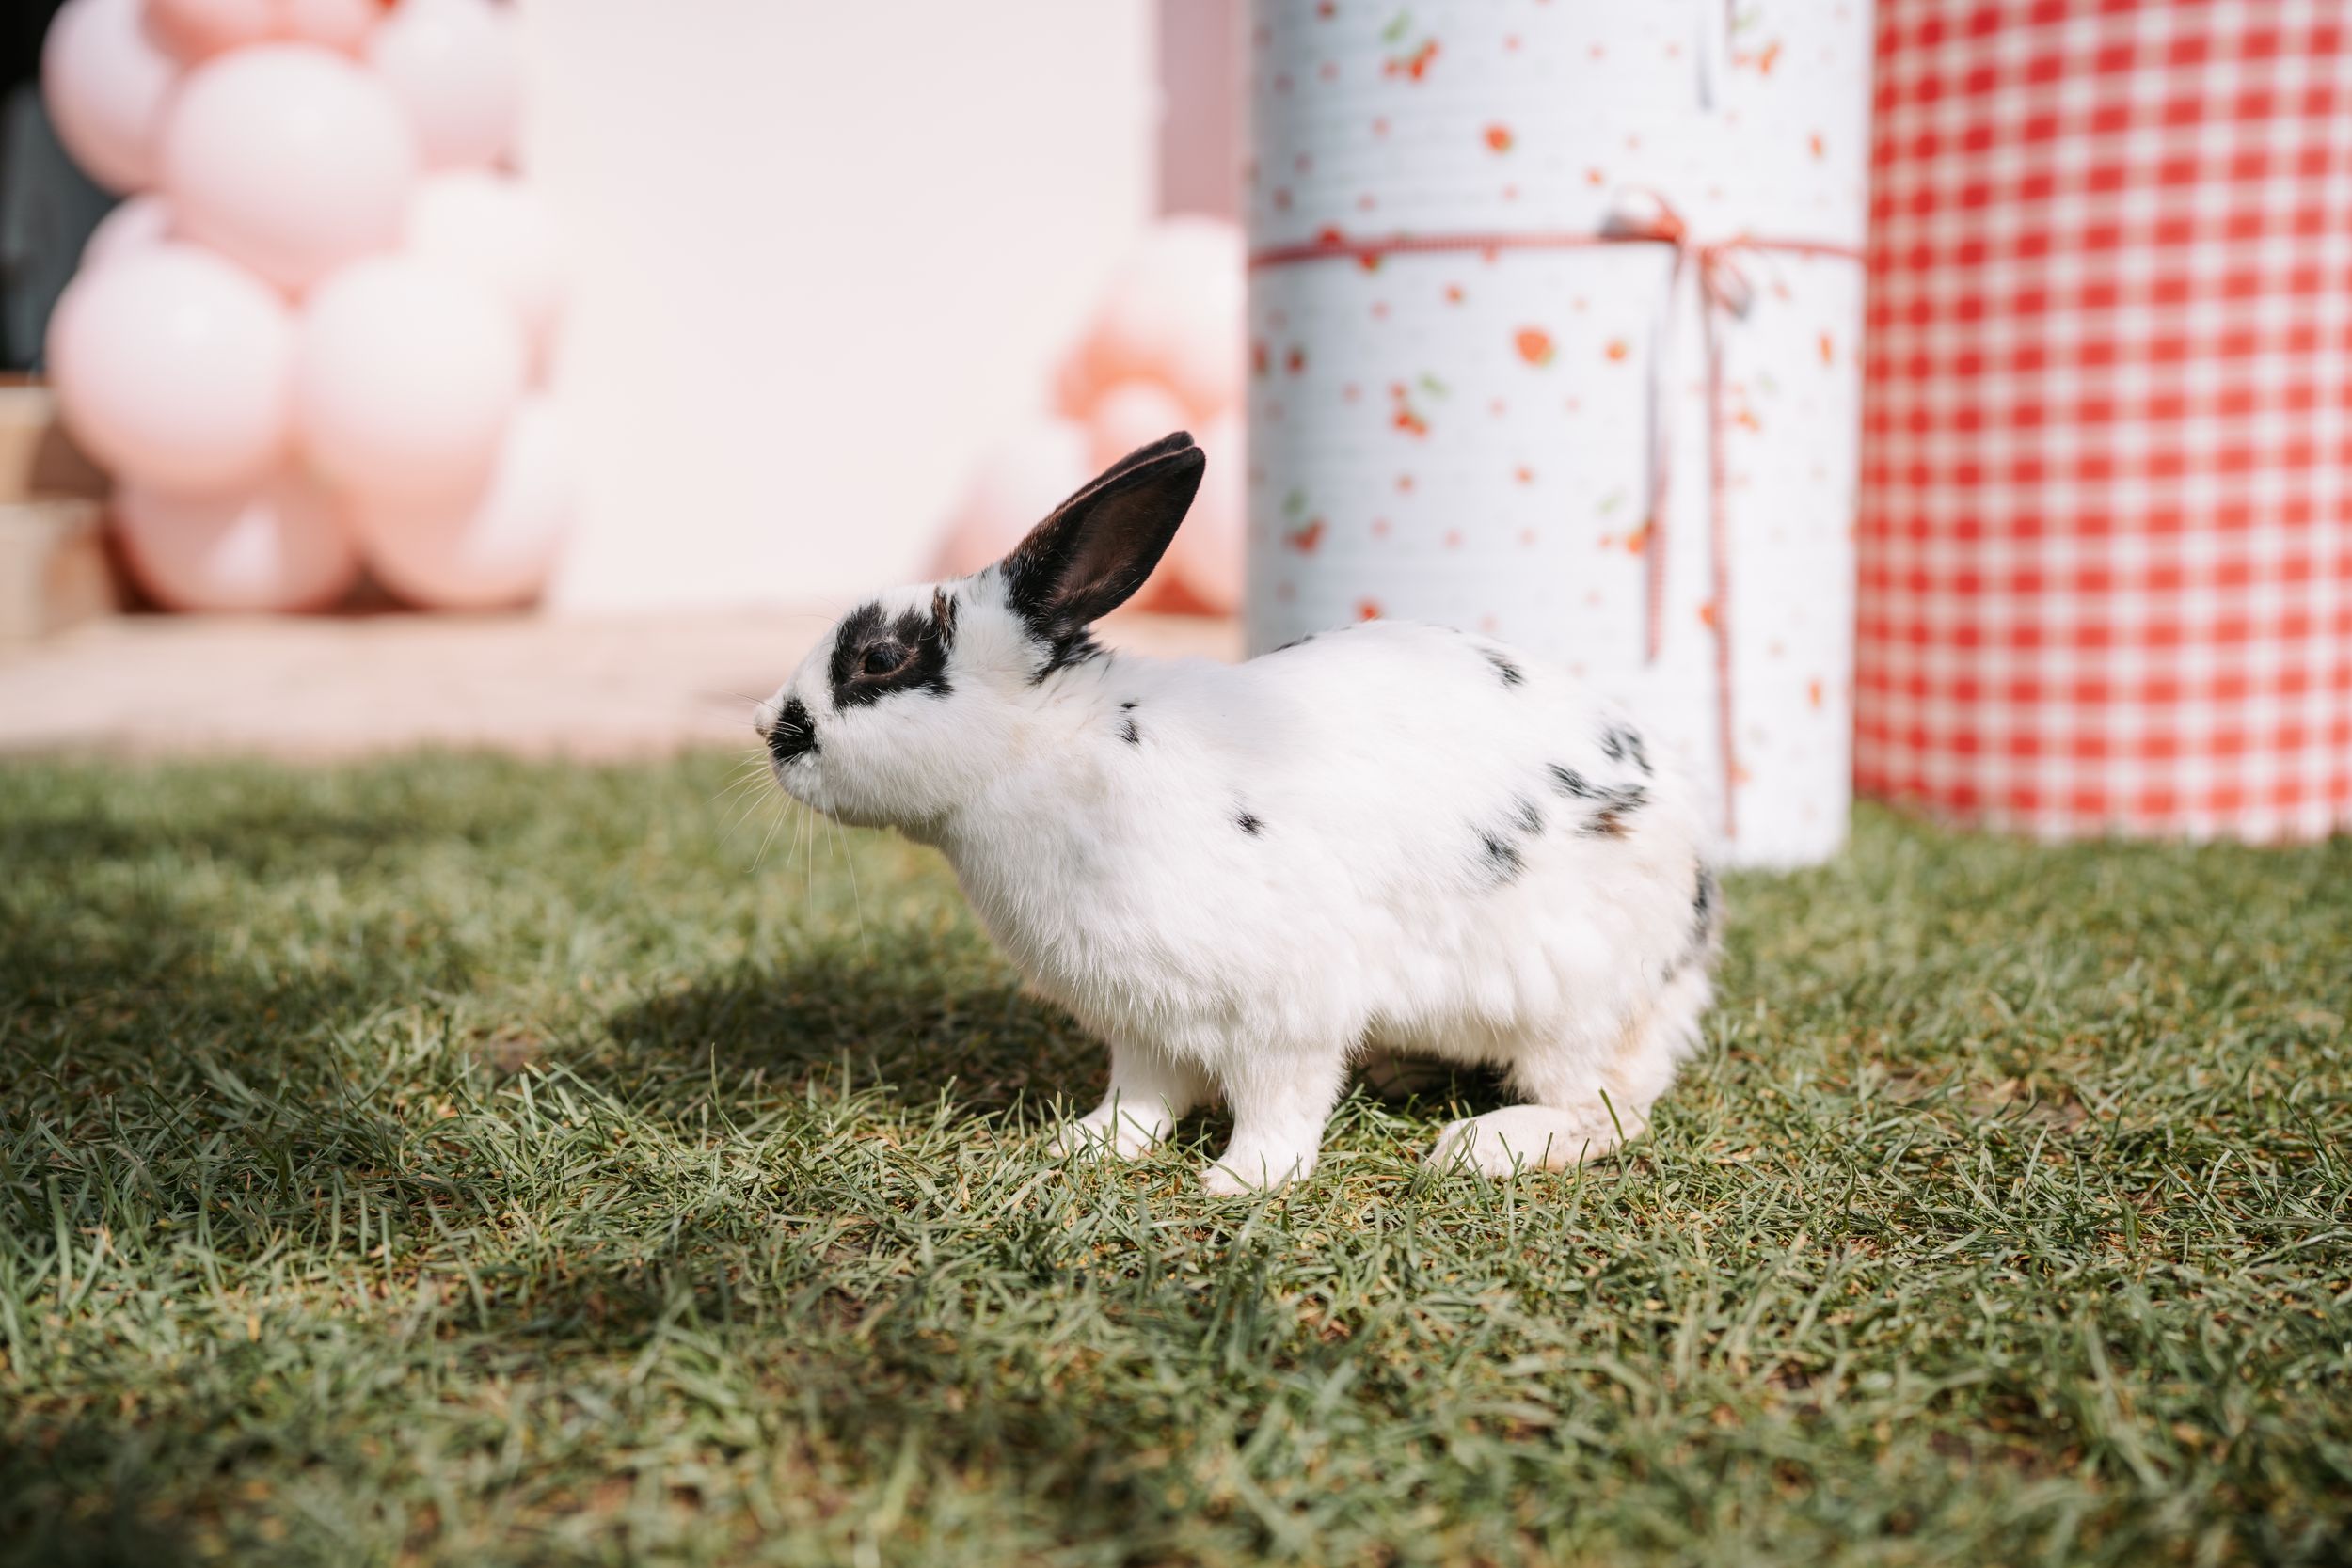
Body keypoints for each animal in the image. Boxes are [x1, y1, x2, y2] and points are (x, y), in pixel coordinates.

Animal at [757, 431, 1719, 1194]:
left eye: (880, 659)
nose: (771, 727)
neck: (1051, 750)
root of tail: (1691, 935)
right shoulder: (1142, 1019)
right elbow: (1141, 1097)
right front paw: (1085, 1146)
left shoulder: (1286, 1010)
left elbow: (1279, 1102)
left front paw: (1241, 1181)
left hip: (1567, 998)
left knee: (1608, 1107)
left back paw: (1482, 1146)